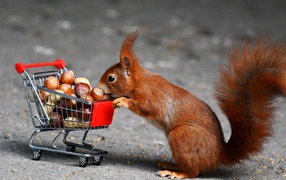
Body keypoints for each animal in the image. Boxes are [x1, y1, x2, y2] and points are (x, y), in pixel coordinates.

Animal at [97, 32, 286, 179]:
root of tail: (219, 154)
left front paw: (121, 101)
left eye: (111, 78)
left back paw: (176, 173)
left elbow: (147, 107)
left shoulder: (152, 95)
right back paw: (170, 165)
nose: (97, 88)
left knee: (194, 171)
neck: (139, 81)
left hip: (182, 136)